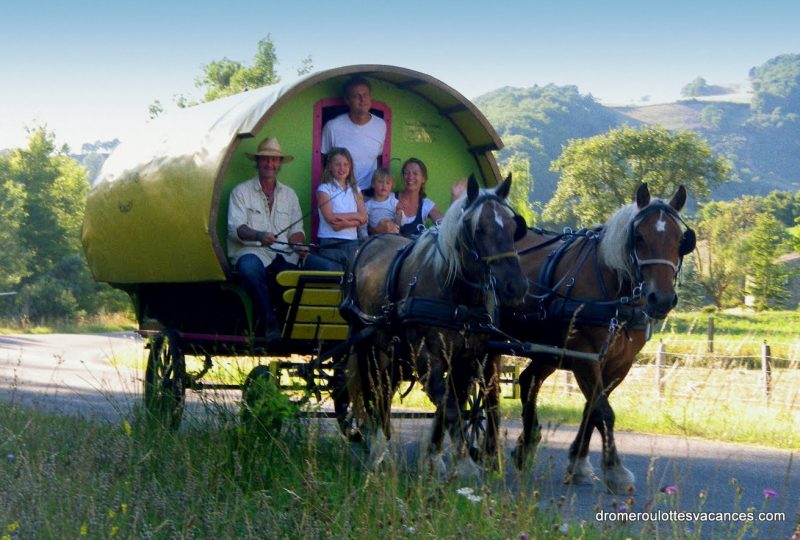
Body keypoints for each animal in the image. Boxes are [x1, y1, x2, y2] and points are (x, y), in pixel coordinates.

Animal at [340, 174, 532, 476]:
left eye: (514, 228)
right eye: (478, 229)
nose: (516, 287)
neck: (456, 297)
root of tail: (369, 243)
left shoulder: (466, 359)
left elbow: (454, 404)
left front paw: (438, 457)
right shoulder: (427, 358)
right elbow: (450, 407)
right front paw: (462, 462)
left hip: (392, 351)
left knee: (385, 390)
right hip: (365, 344)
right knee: (374, 390)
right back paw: (376, 447)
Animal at [500, 185, 692, 494]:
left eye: (680, 240)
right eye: (639, 238)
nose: (661, 299)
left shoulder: (618, 363)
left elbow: (593, 408)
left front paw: (578, 463)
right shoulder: (584, 357)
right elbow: (604, 411)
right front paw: (616, 469)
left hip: (550, 351)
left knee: (529, 381)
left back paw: (526, 445)